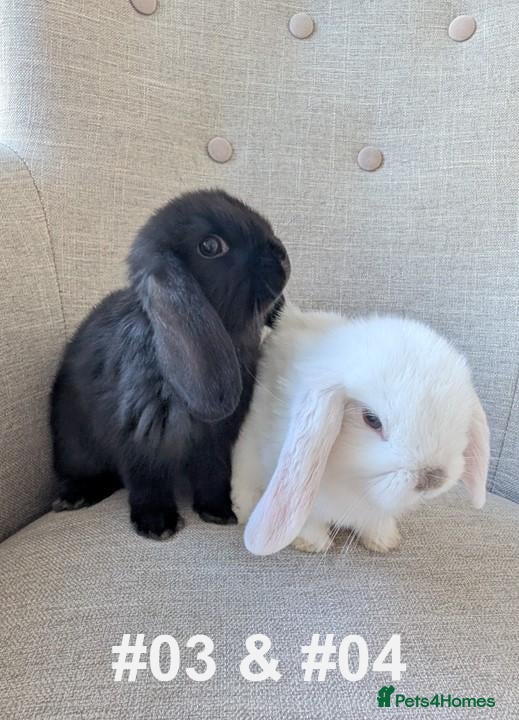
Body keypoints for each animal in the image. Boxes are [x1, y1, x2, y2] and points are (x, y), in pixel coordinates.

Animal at [51, 189, 290, 539]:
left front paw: (219, 513)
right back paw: (72, 499)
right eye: (210, 246)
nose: (283, 257)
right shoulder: (139, 438)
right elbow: (147, 482)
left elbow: (213, 475)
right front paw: (157, 525)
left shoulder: (216, 442)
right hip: (75, 448)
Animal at [231, 304, 490, 555]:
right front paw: (313, 543)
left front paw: (384, 540)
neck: (356, 483)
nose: (433, 480)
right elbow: (307, 519)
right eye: (371, 420)